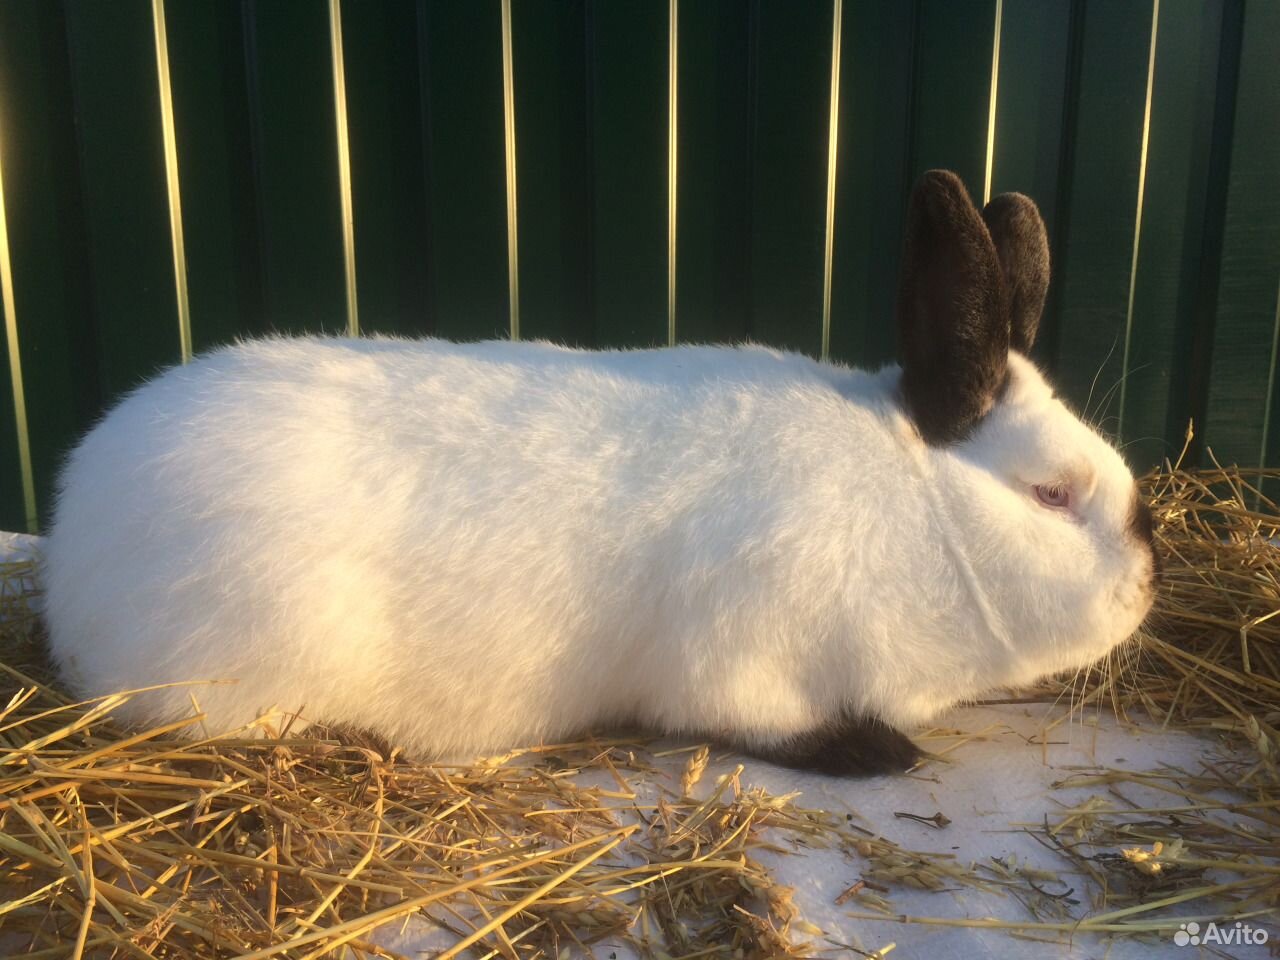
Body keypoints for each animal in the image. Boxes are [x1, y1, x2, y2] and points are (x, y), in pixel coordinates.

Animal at [40, 171, 1162, 773]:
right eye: (1050, 494)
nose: (1149, 573)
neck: (917, 509)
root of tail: (72, 538)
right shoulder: (745, 662)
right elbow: (769, 725)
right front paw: (876, 752)